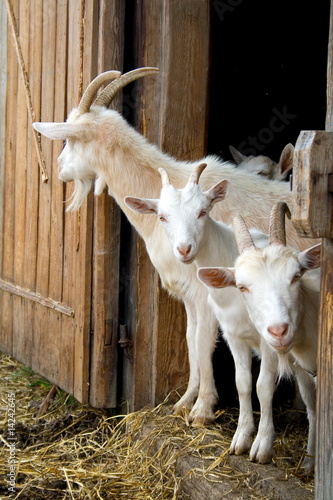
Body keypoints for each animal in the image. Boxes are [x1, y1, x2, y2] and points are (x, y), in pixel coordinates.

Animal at [33, 66, 316, 426]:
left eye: (69, 138)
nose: (59, 168)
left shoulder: (207, 293)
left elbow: (204, 343)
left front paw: (203, 409)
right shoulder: (189, 296)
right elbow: (191, 342)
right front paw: (184, 402)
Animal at [197, 200, 320, 468]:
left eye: (296, 276)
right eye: (242, 286)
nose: (279, 330)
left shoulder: (268, 345)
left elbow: (264, 386)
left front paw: (262, 446)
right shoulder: (234, 338)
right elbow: (242, 382)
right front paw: (241, 439)